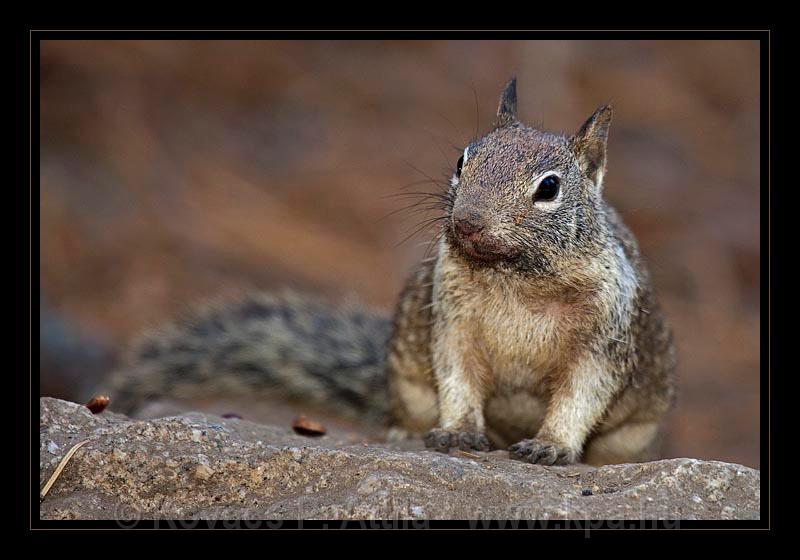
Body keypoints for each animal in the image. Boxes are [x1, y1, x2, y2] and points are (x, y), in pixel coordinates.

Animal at [101, 77, 676, 464]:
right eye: (463, 160)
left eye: (549, 188)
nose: (467, 221)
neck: (516, 278)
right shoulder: (451, 317)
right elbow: (458, 377)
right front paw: (457, 431)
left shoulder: (604, 336)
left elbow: (581, 394)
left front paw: (552, 447)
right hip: (406, 384)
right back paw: (404, 433)